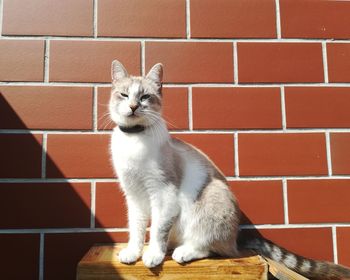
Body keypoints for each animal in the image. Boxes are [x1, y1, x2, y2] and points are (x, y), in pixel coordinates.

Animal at [108, 60, 350, 278]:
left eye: (144, 97)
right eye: (124, 95)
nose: (133, 106)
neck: (134, 139)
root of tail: (237, 237)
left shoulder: (163, 194)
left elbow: (158, 230)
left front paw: (153, 255)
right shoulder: (134, 195)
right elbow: (137, 228)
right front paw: (133, 253)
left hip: (212, 195)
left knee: (211, 247)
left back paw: (183, 251)